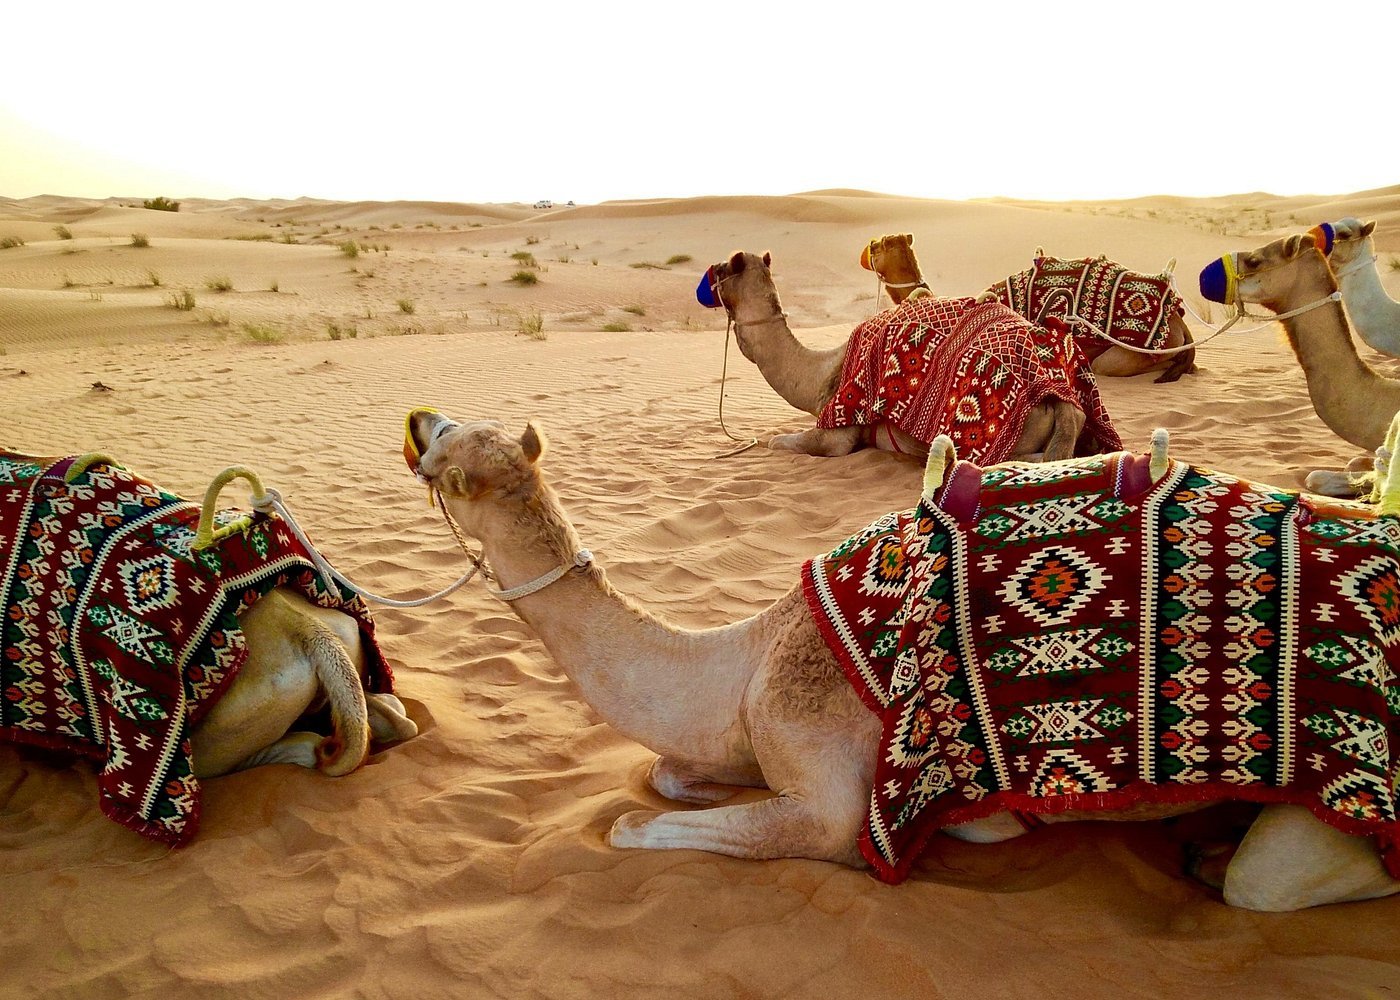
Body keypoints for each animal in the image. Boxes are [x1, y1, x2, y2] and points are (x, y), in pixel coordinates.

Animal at [405, 407, 1400, 910]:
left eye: (446, 454)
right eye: (456, 426)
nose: (417, 416)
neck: (748, 657)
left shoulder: (828, 787)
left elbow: (635, 826)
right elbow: (668, 774)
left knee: (1267, 884)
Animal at [698, 251, 1116, 463]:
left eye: (721, 268)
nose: (705, 281)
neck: (817, 373)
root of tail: (1060, 399)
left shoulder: (838, 428)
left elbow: (786, 443)